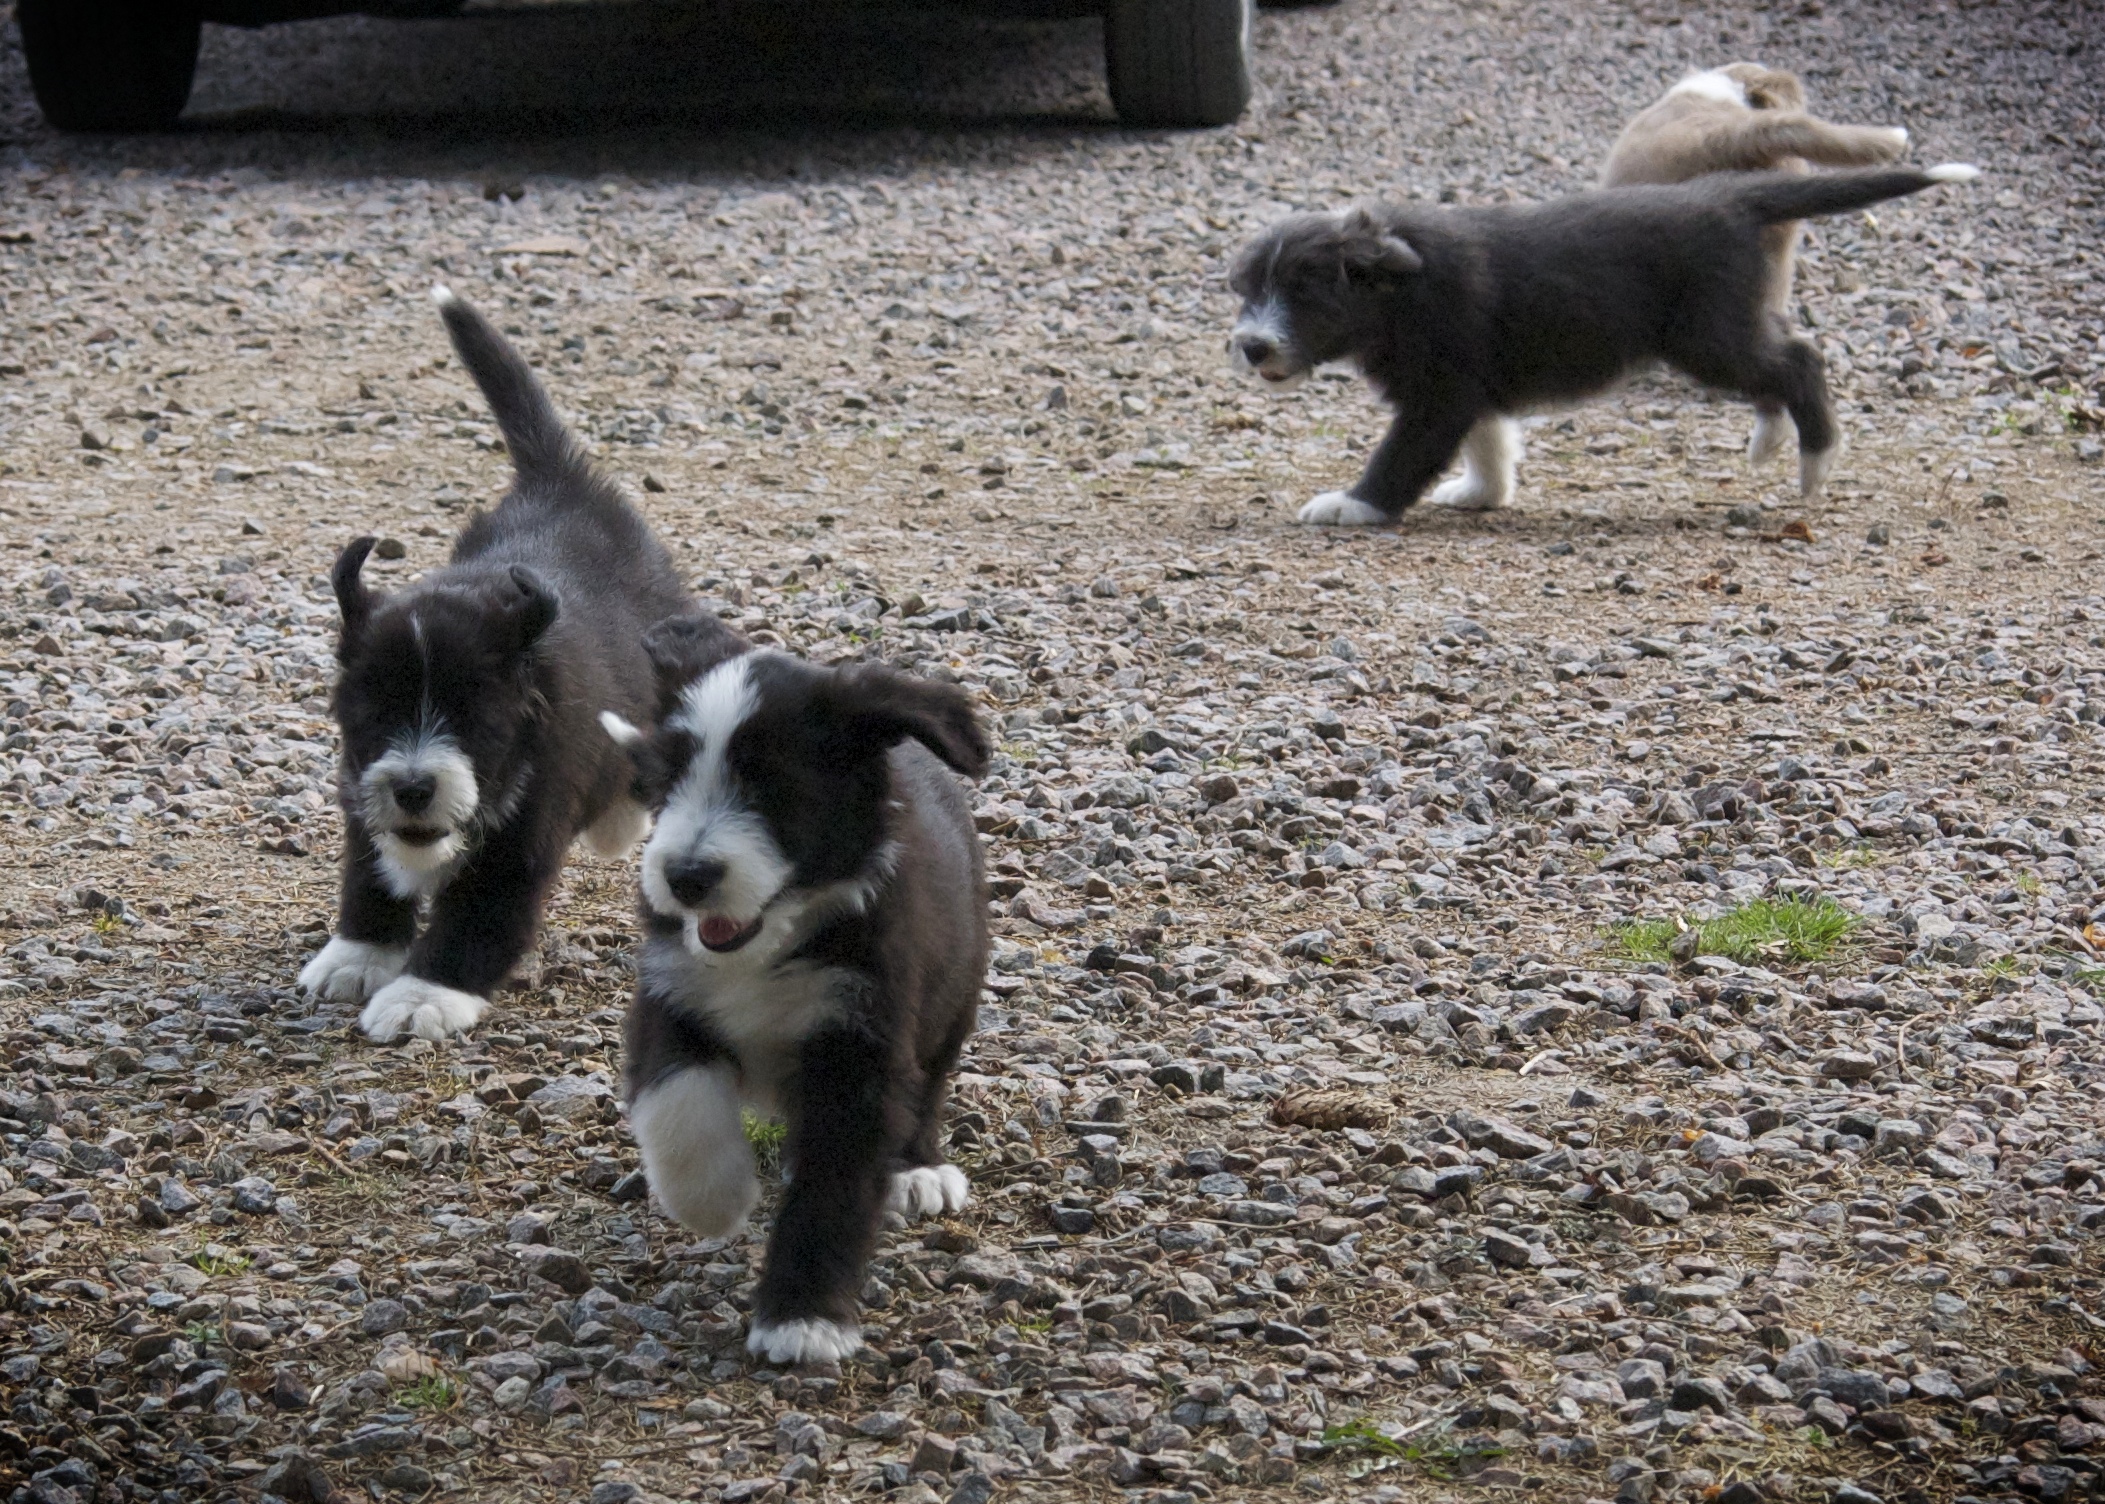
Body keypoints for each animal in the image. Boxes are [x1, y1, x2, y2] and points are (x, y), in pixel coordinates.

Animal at [298, 288, 690, 1042]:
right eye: (376, 715)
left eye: (471, 719)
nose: (413, 788)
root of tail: (561, 483)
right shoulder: (361, 785)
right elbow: (369, 870)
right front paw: (358, 954)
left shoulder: (523, 835)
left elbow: (476, 919)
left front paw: (421, 996)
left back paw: (621, 820)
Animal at [600, 613, 990, 1366]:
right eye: (668, 780)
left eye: (772, 786)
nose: (686, 877)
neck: (776, 940)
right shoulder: (668, 988)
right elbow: (678, 1103)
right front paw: (714, 1196)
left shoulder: (863, 1043)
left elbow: (833, 1187)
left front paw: (802, 1320)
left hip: (955, 994)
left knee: (929, 1083)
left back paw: (917, 1169)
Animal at [1227, 164, 1977, 525]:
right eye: (1244, 289)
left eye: (1305, 292)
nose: (1251, 346)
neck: (1399, 289)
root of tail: (1726, 197)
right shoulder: (1470, 383)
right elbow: (1489, 439)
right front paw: (1483, 493)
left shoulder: (1440, 390)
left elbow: (1404, 454)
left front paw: (1352, 505)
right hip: (1724, 331)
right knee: (1776, 364)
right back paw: (1769, 441)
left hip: (1705, 336)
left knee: (1799, 360)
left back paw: (1814, 461)